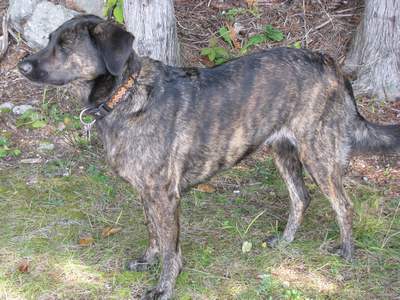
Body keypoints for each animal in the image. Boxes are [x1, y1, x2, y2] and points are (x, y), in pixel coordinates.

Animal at [18, 14, 400, 300]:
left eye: (66, 45)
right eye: (49, 39)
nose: (22, 66)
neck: (125, 94)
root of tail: (331, 64)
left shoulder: (163, 195)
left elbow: (171, 249)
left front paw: (164, 287)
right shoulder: (147, 193)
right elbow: (153, 233)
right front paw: (147, 261)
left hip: (317, 154)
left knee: (343, 205)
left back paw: (347, 252)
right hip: (283, 151)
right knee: (301, 197)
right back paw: (285, 241)